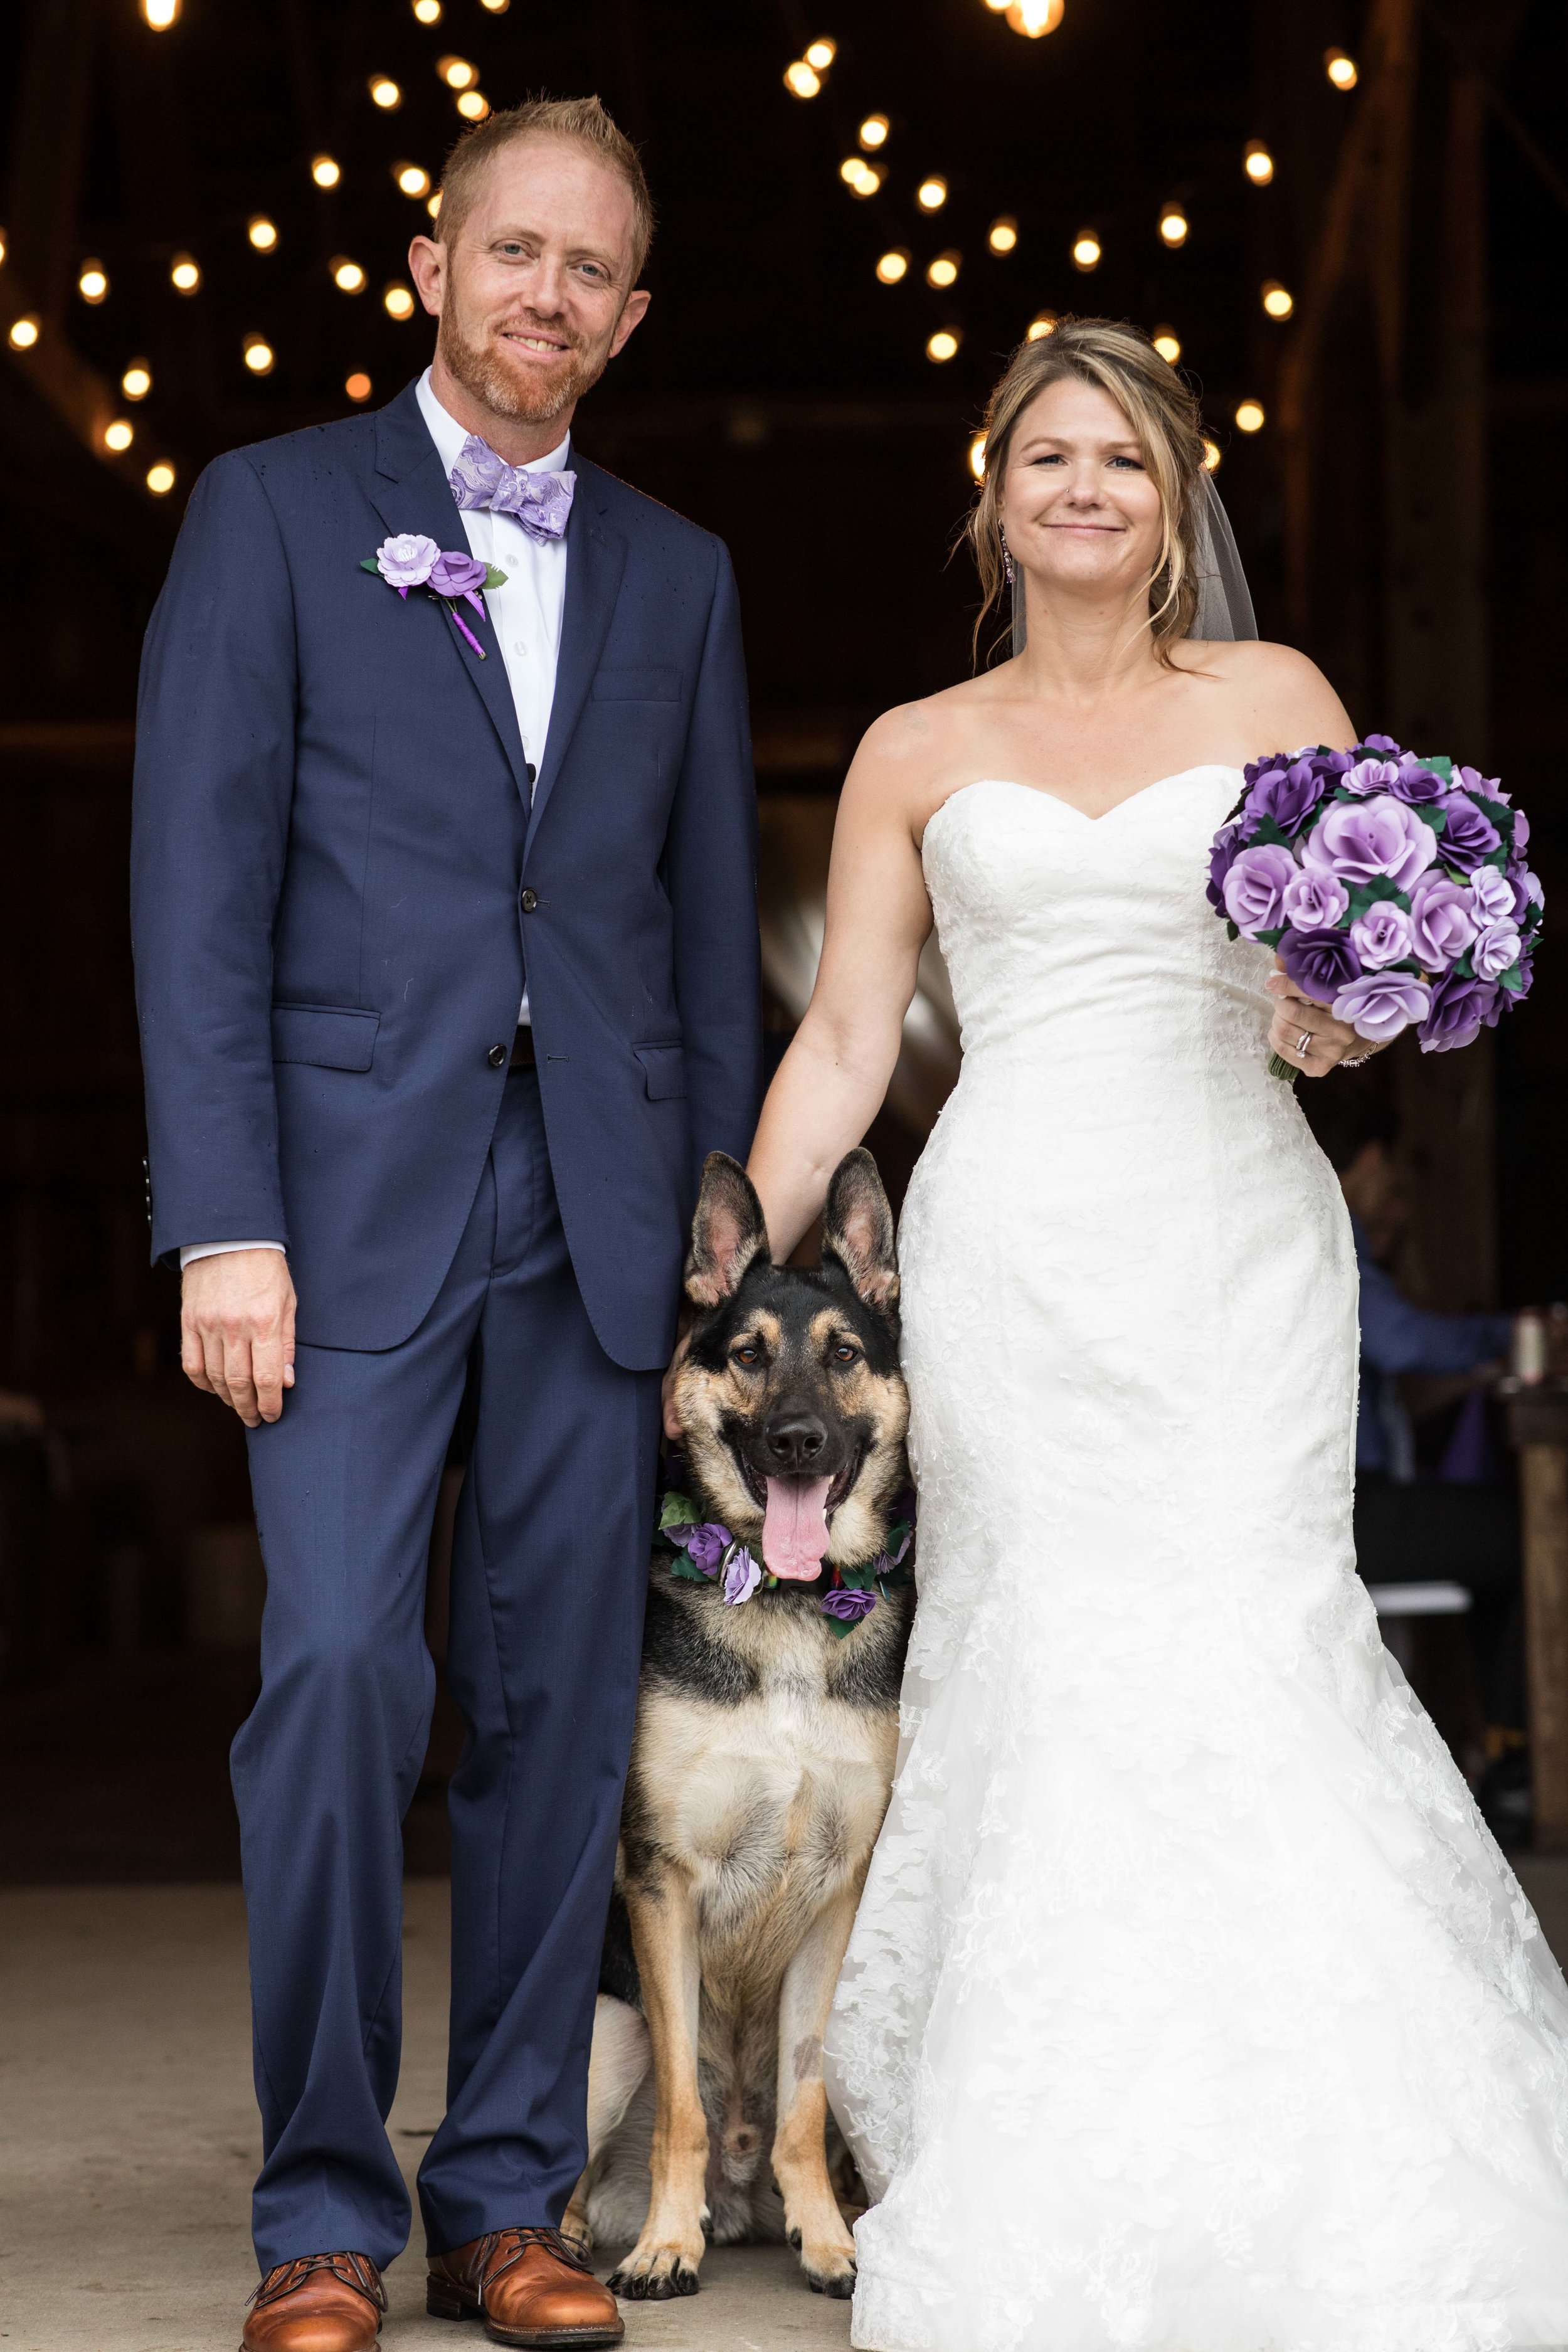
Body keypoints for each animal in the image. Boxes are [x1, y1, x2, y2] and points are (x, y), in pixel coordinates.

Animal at [561, 1148, 907, 2305]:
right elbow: (683, 2107)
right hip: (606, 2029)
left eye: (844, 1353)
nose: (798, 1440)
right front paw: (667, 2245)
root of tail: (741, 2196)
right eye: (748, 1355)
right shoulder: (662, 1883)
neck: (789, 1603)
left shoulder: (837, 1896)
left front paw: (833, 2245)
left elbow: (800, 2098)